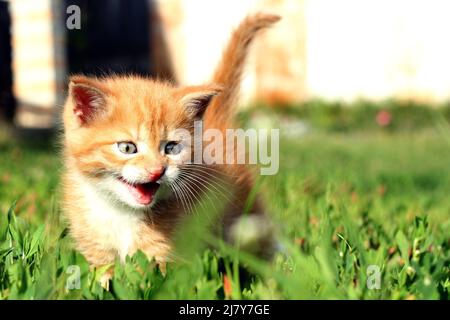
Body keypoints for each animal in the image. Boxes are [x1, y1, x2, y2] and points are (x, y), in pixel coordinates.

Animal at [61, 14, 280, 276]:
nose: (158, 170)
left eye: (171, 148)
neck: (120, 211)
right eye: (127, 148)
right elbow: (103, 277)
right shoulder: (96, 247)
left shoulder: (166, 247)